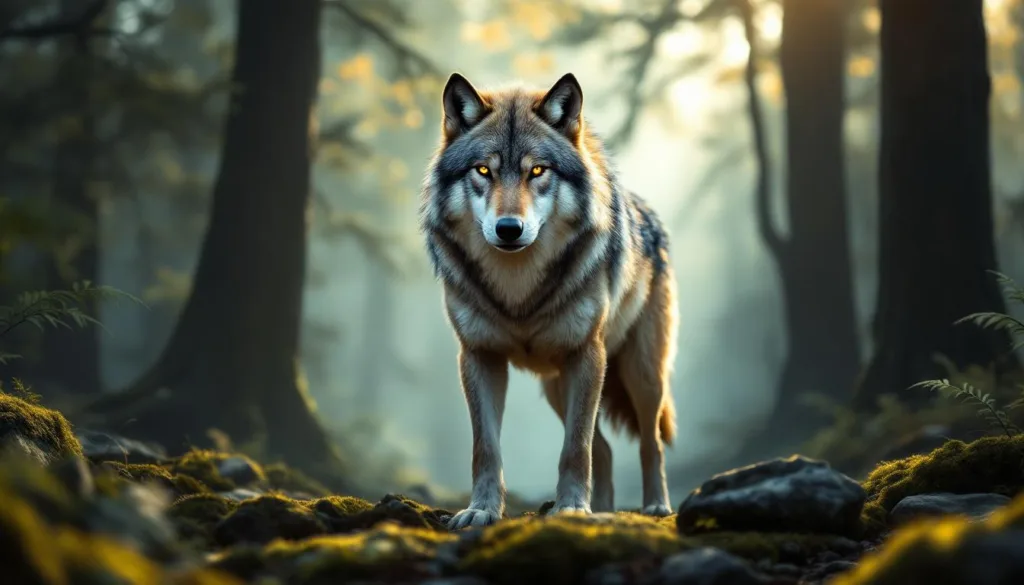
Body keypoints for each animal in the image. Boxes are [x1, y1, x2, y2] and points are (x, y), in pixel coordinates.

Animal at [419, 72, 679, 529]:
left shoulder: (586, 354)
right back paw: (604, 510)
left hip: (640, 374)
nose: (508, 228)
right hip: (559, 386)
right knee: (604, 449)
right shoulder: (479, 357)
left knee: (650, 443)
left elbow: (575, 448)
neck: (518, 290)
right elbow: (485, 447)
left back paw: (655, 506)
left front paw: (572, 509)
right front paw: (481, 510)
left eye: (537, 170)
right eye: (483, 170)